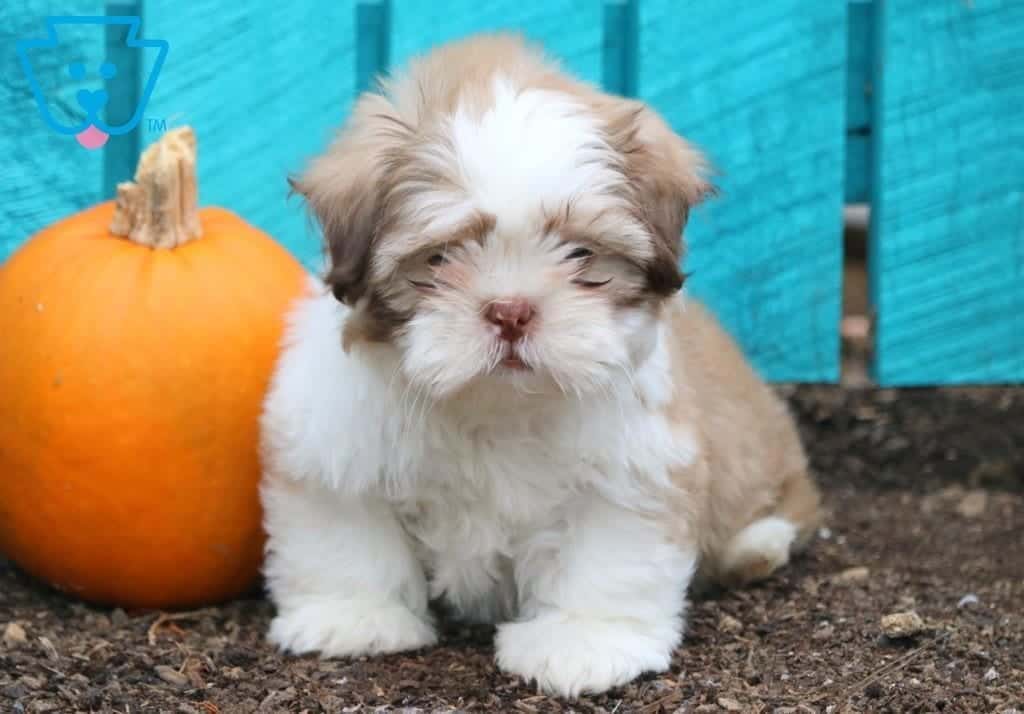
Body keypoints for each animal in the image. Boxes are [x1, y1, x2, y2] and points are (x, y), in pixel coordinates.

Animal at [260, 33, 819, 696]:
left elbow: (608, 555)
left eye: (581, 255)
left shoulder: (634, 465)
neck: (493, 403)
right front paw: (355, 617)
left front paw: (583, 640)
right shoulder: (334, 438)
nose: (510, 311)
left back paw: (757, 543)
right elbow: (345, 530)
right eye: (440, 258)